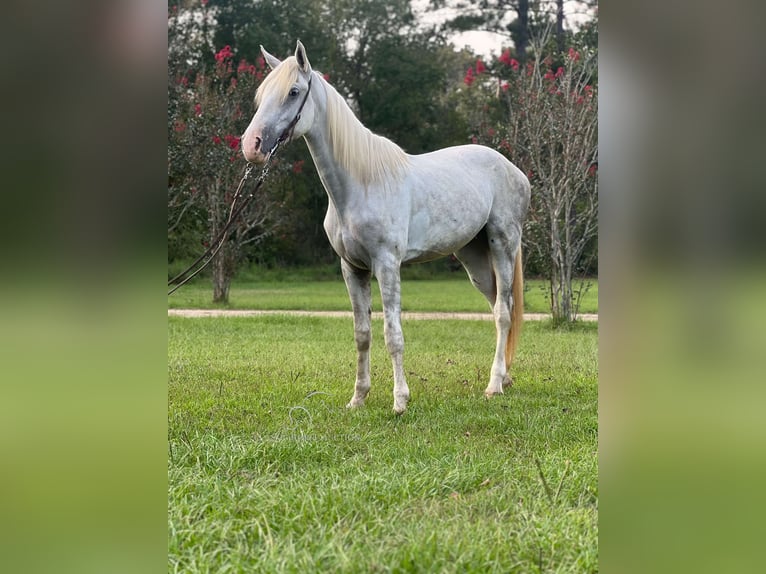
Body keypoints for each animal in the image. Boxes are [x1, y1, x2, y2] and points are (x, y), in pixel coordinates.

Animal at [243, 42, 532, 416]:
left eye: (293, 92)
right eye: (261, 94)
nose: (252, 145)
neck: (360, 184)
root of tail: (514, 170)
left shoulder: (387, 265)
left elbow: (392, 334)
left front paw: (400, 401)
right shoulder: (352, 268)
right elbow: (362, 334)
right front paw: (358, 398)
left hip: (503, 245)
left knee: (502, 313)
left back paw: (494, 385)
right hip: (475, 259)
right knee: (499, 305)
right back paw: (505, 377)